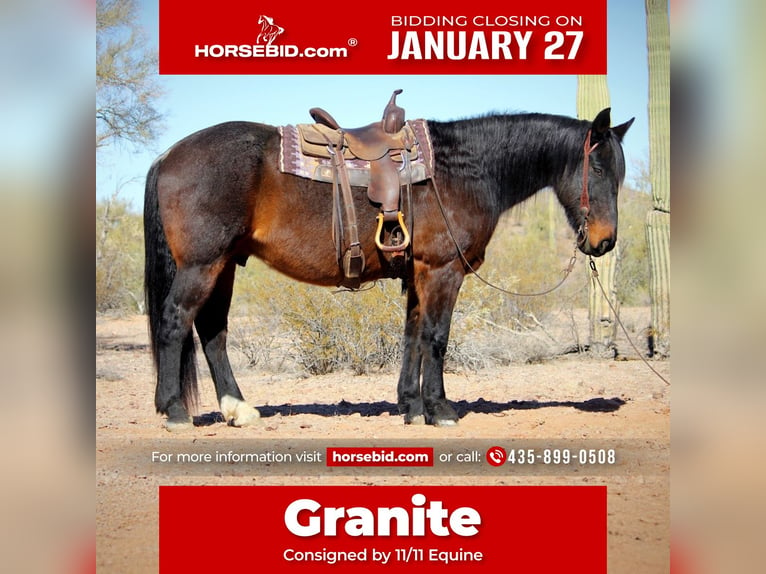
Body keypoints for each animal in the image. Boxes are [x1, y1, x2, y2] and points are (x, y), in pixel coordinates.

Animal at [144, 103, 636, 430]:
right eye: (596, 166)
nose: (605, 241)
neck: (463, 169)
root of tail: (168, 155)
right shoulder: (442, 271)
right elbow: (437, 338)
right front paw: (440, 410)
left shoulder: (418, 274)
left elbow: (413, 338)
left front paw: (411, 407)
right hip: (203, 265)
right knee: (175, 321)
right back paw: (174, 410)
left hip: (224, 265)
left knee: (212, 331)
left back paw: (238, 408)